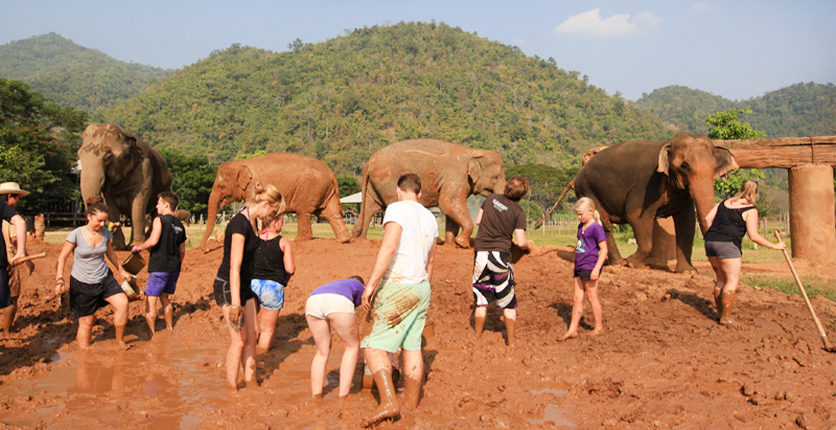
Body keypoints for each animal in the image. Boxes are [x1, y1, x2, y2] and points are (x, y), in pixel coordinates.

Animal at [199, 154, 350, 249]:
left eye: (221, 186)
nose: (203, 249)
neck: (242, 164)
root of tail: (332, 174)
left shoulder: (253, 187)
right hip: (326, 191)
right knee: (331, 213)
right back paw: (342, 240)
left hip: (310, 189)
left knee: (304, 212)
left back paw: (296, 240)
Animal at [352, 139, 506, 249]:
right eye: (496, 177)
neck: (472, 152)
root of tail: (370, 160)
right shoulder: (456, 178)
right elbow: (448, 204)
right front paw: (462, 244)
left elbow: (450, 210)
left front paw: (451, 245)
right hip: (389, 183)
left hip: (374, 184)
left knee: (370, 208)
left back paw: (361, 241)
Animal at [576, 133, 740, 272]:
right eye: (684, 165)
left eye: (714, 166)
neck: (667, 144)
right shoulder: (647, 185)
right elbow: (636, 216)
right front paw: (632, 263)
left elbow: (687, 223)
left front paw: (688, 271)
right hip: (588, 190)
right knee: (604, 223)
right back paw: (619, 263)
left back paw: (618, 262)